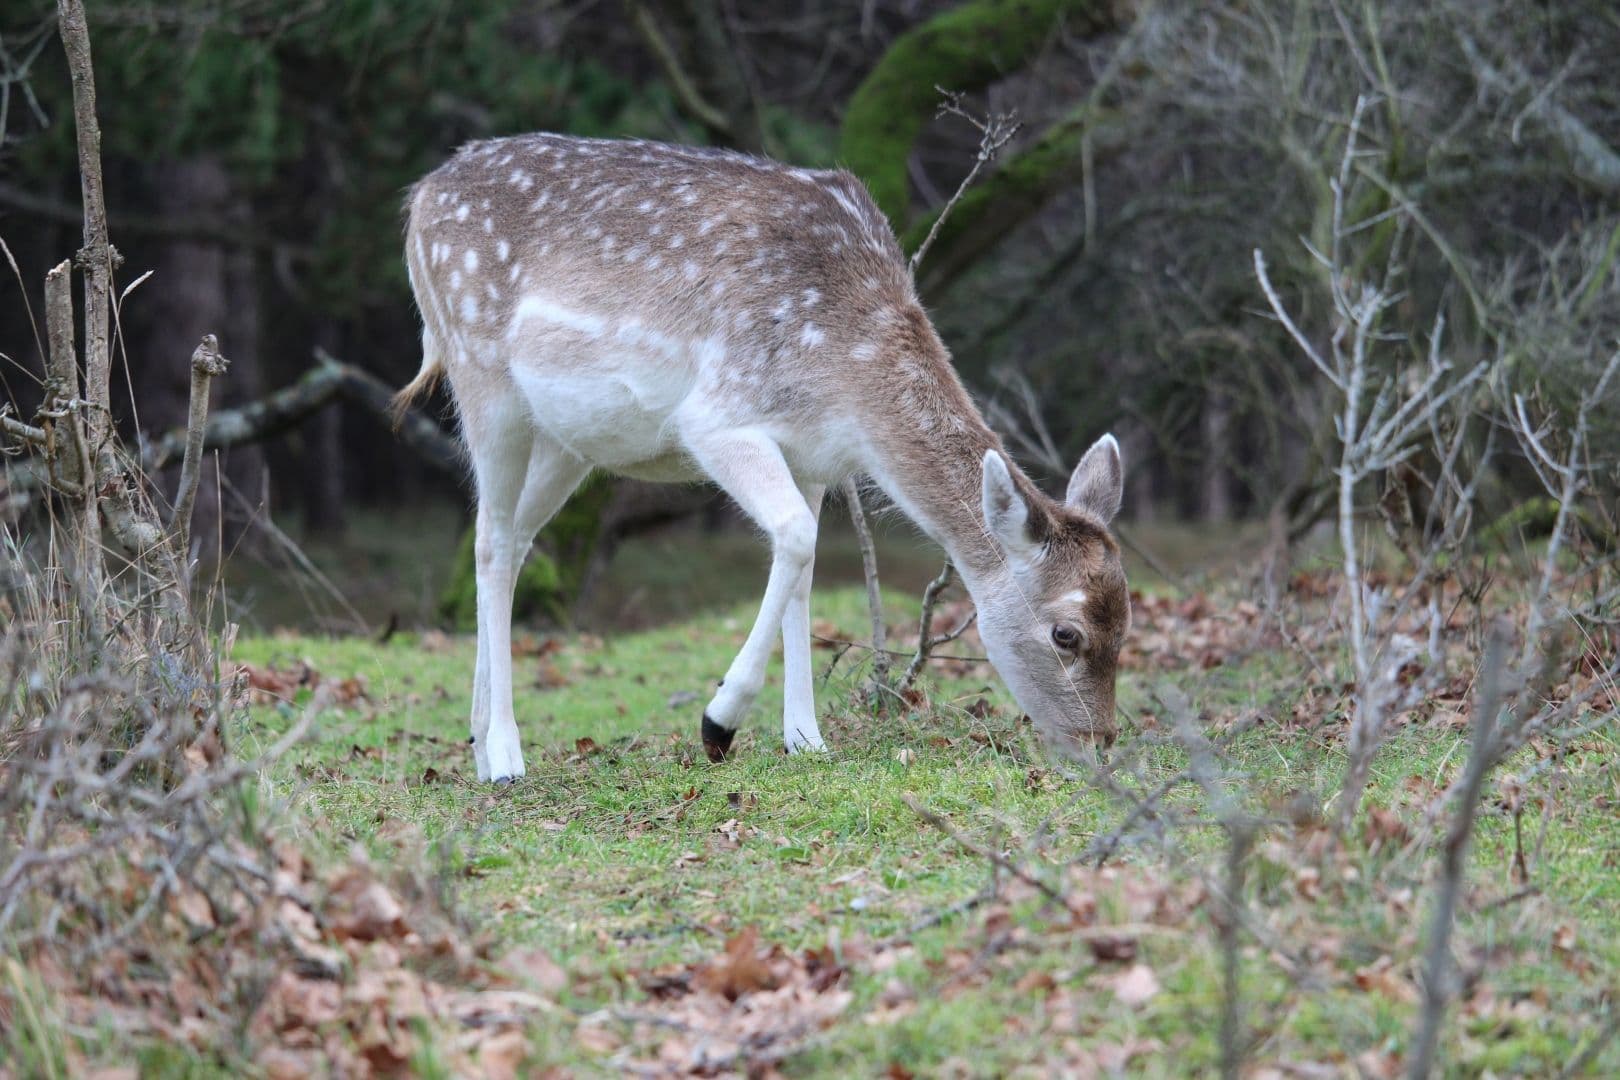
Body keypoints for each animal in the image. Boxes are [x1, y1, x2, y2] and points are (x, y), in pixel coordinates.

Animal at [393, 134, 1129, 784]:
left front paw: (805, 738)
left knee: (513, 541)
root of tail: (420, 196)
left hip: (566, 441)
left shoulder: (812, 456)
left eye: (1125, 624)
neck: (845, 378)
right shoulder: (719, 417)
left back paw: (477, 743)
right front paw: (718, 723)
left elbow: (803, 570)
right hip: (482, 377)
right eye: (1066, 635)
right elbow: (796, 537)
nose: (1098, 743)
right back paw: (505, 756)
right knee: (490, 541)